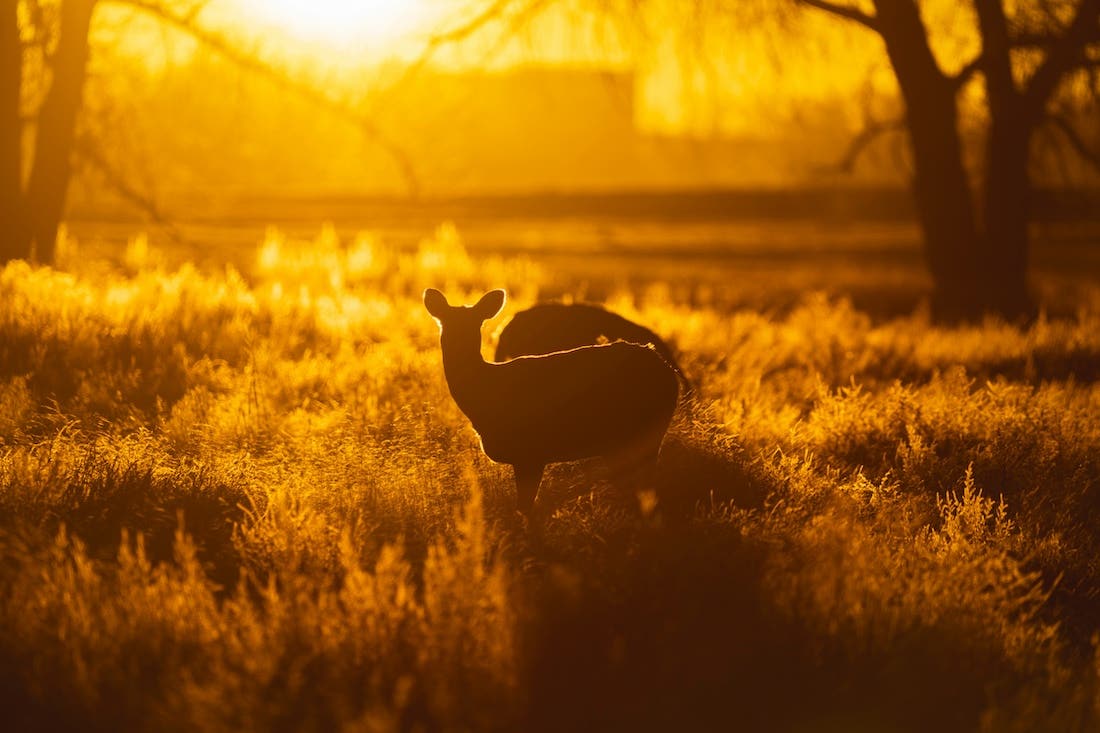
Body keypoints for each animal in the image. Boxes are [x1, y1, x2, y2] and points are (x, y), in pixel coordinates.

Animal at [424, 288, 680, 515]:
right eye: (443, 322)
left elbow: (525, 510)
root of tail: (670, 372)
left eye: (476, 323)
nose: (457, 341)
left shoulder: (531, 453)